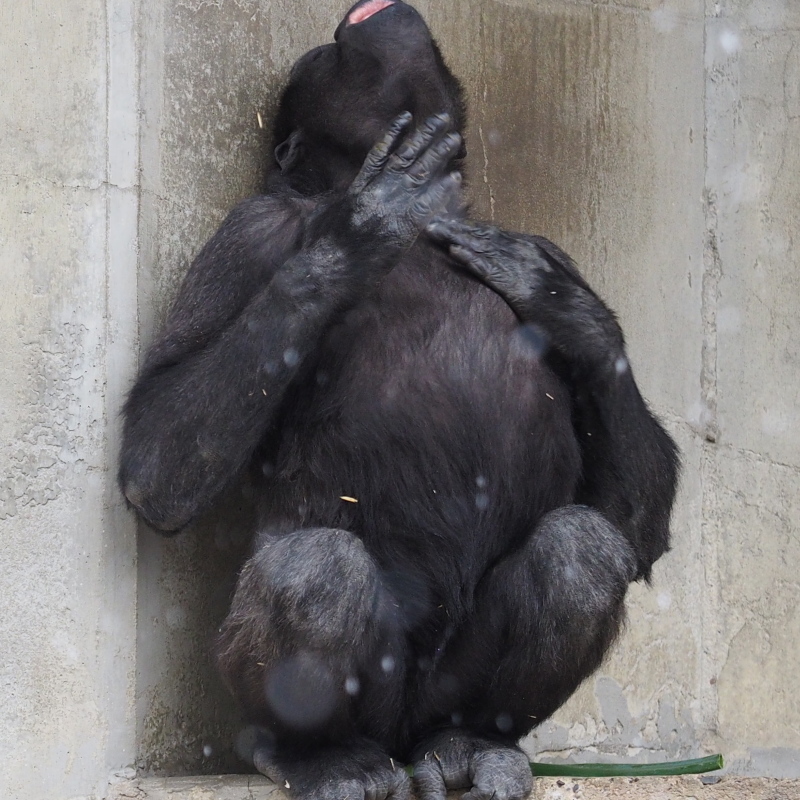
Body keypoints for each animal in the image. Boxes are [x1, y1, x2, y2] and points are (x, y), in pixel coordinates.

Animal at [122, 1, 680, 800]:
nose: (328, 37)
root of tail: (404, 746)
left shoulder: (553, 245)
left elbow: (636, 525)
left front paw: (564, 304)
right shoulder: (248, 234)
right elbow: (157, 458)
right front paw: (362, 227)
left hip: (441, 698)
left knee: (582, 555)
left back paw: (474, 741)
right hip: (363, 703)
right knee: (316, 573)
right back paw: (317, 755)